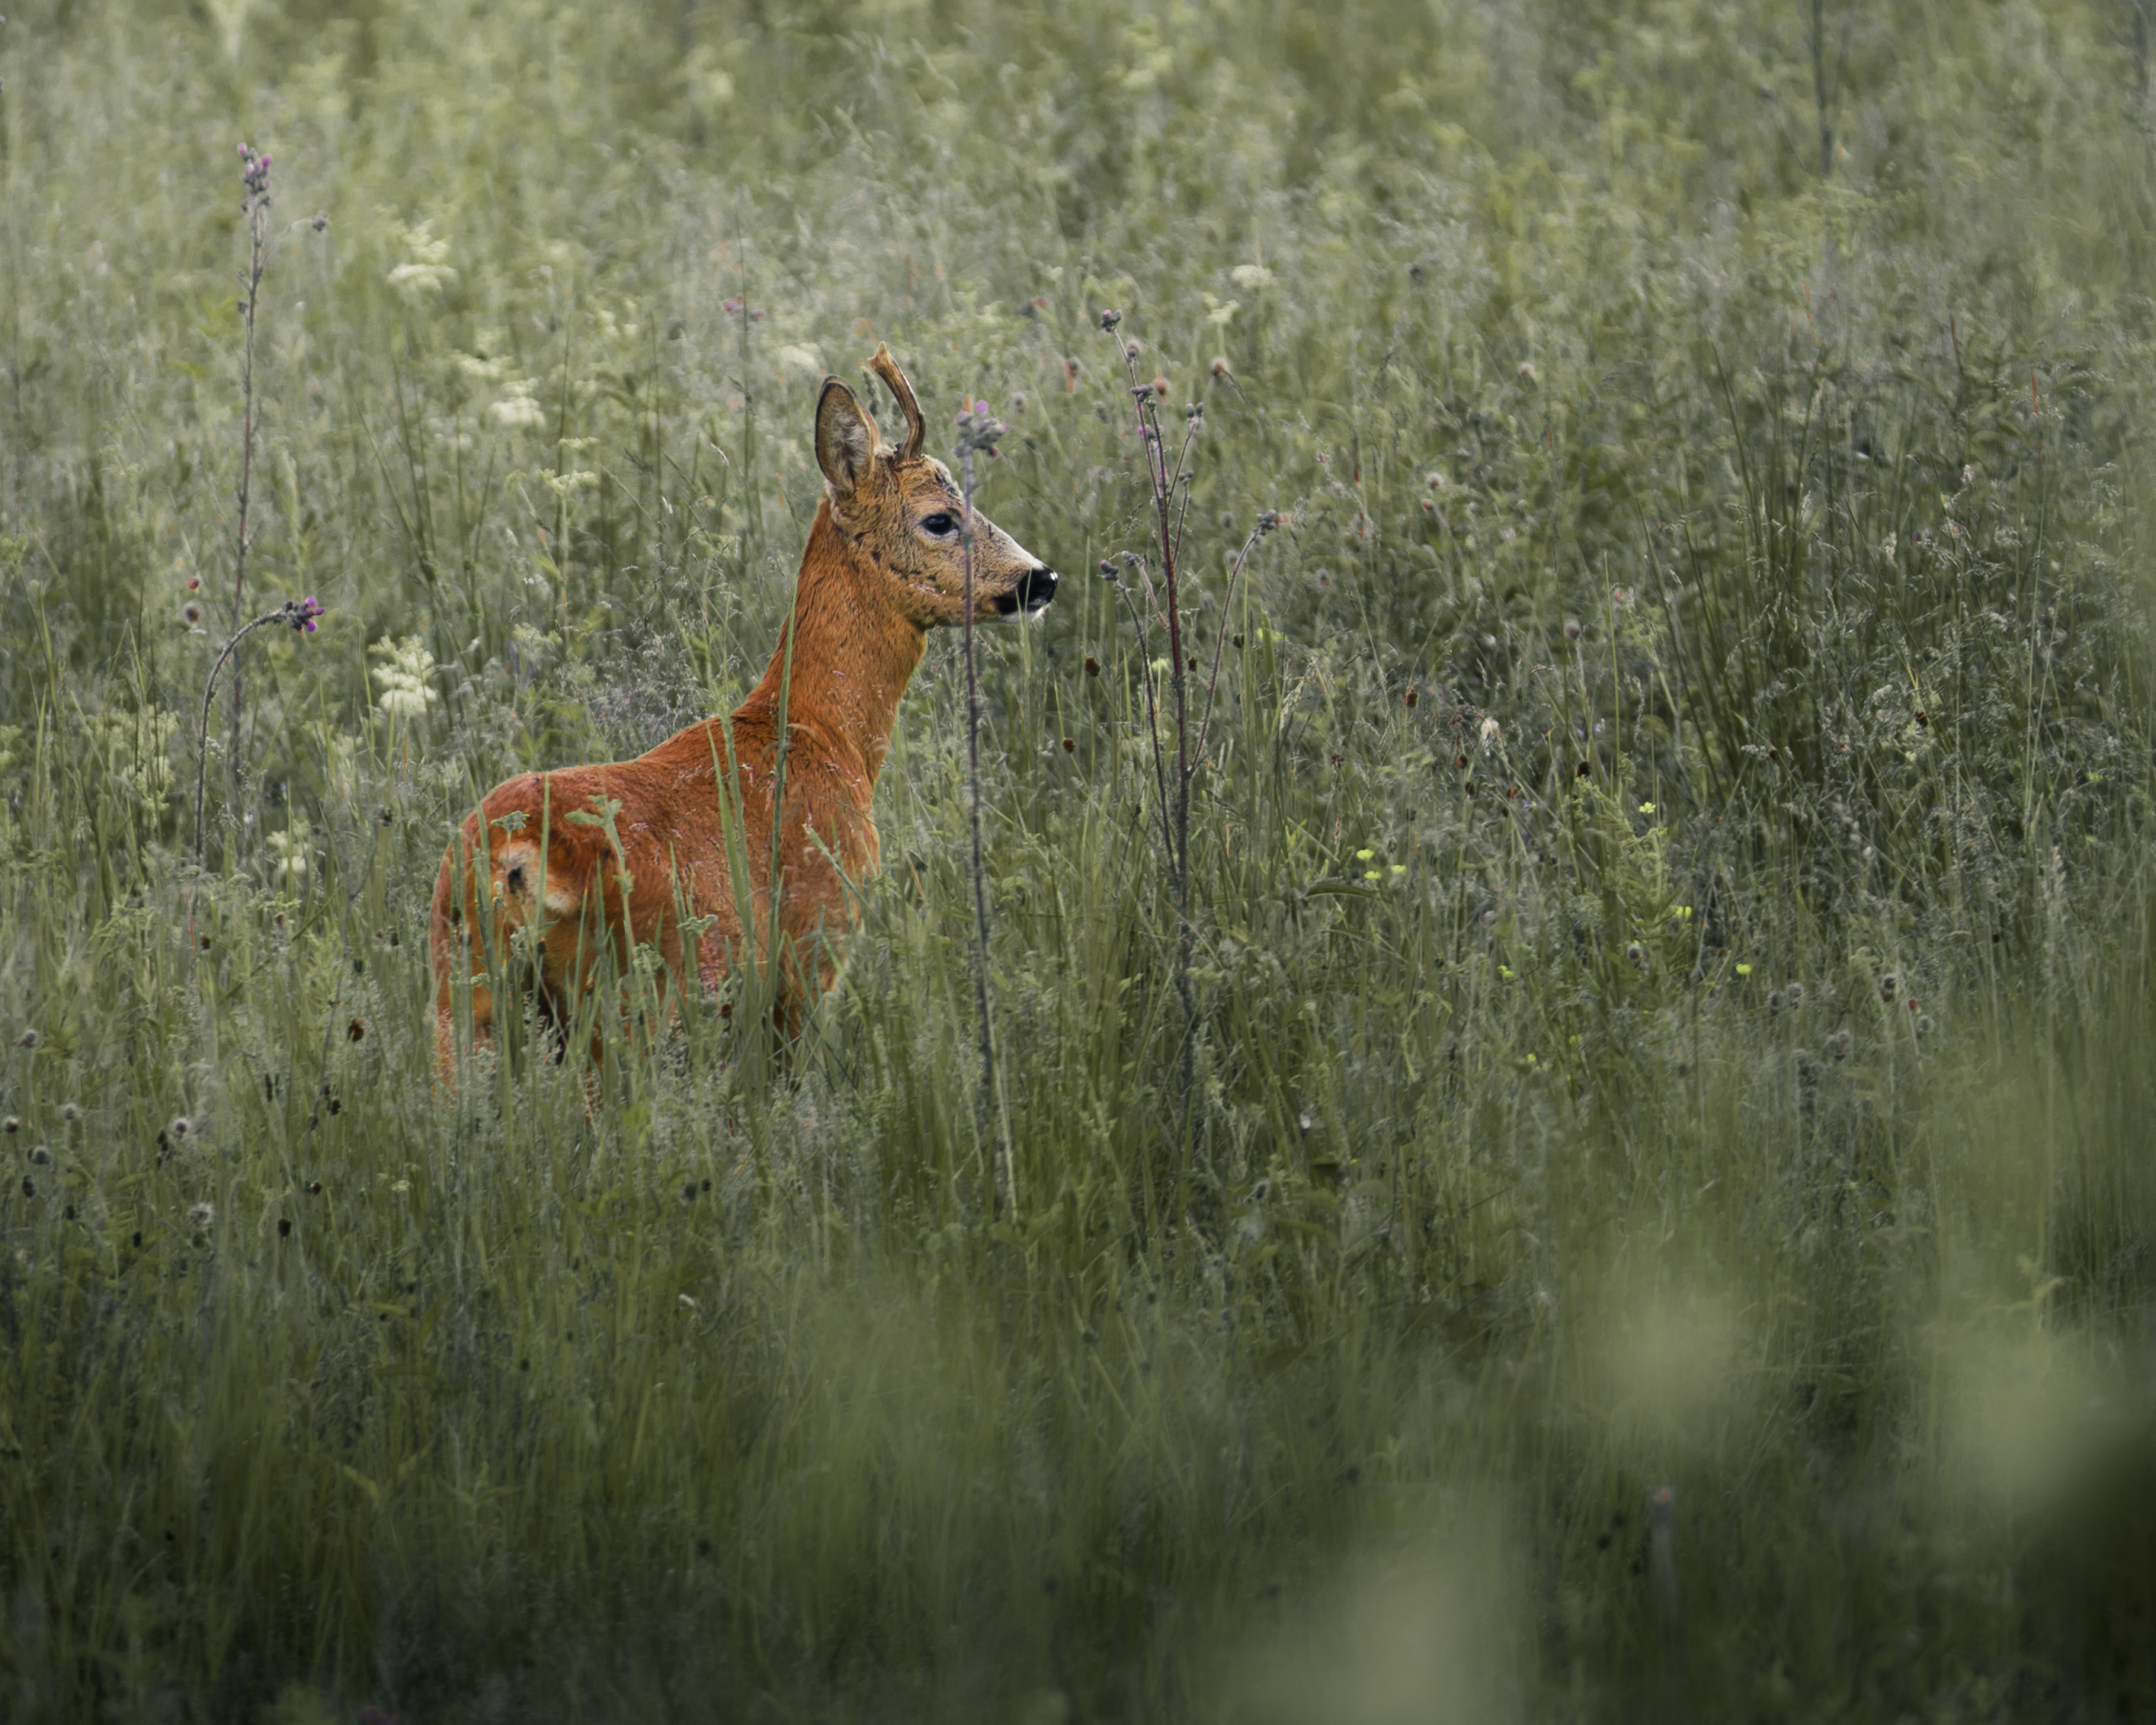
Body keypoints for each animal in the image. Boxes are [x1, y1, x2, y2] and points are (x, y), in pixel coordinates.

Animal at [427, 342, 1052, 1069]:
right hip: (634, 997)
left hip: (461, 993)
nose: (1041, 578)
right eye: (939, 519)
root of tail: (514, 855)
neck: (820, 736)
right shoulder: (812, 945)